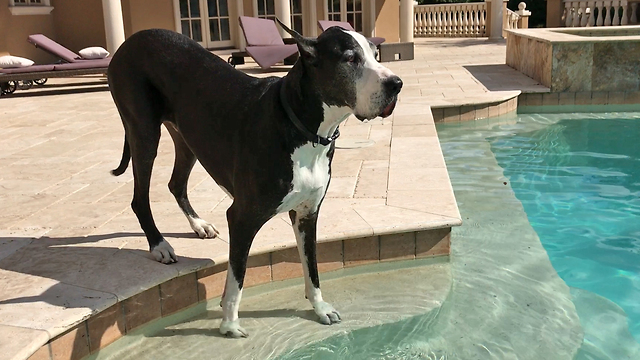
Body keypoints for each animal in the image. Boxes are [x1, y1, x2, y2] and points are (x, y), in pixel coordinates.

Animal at [107, 20, 402, 338]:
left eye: (375, 54)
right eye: (350, 58)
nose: (396, 84)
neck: (302, 126)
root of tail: (132, 39)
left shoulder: (307, 214)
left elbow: (312, 268)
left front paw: (320, 308)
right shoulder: (242, 217)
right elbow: (238, 276)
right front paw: (229, 323)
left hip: (187, 138)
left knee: (176, 184)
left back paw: (198, 225)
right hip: (144, 132)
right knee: (139, 198)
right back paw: (159, 245)